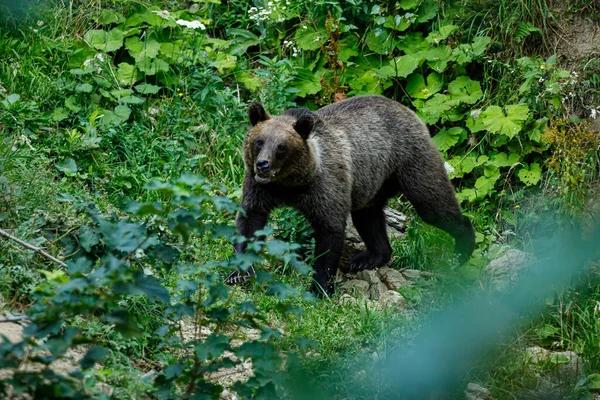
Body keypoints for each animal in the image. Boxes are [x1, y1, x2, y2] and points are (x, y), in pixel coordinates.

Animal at [227, 94, 476, 294]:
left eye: (282, 147)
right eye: (259, 141)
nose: (263, 165)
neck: (290, 184)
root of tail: (406, 109)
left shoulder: (324, 187)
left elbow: (329, 234)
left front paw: (319, 288)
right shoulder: (260, 189)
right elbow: (249, 221)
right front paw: (238, 273)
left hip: (410, 162)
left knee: (433, 204)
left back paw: (461, 250)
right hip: (372, 181)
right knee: (368, 218)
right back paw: (368, 258)